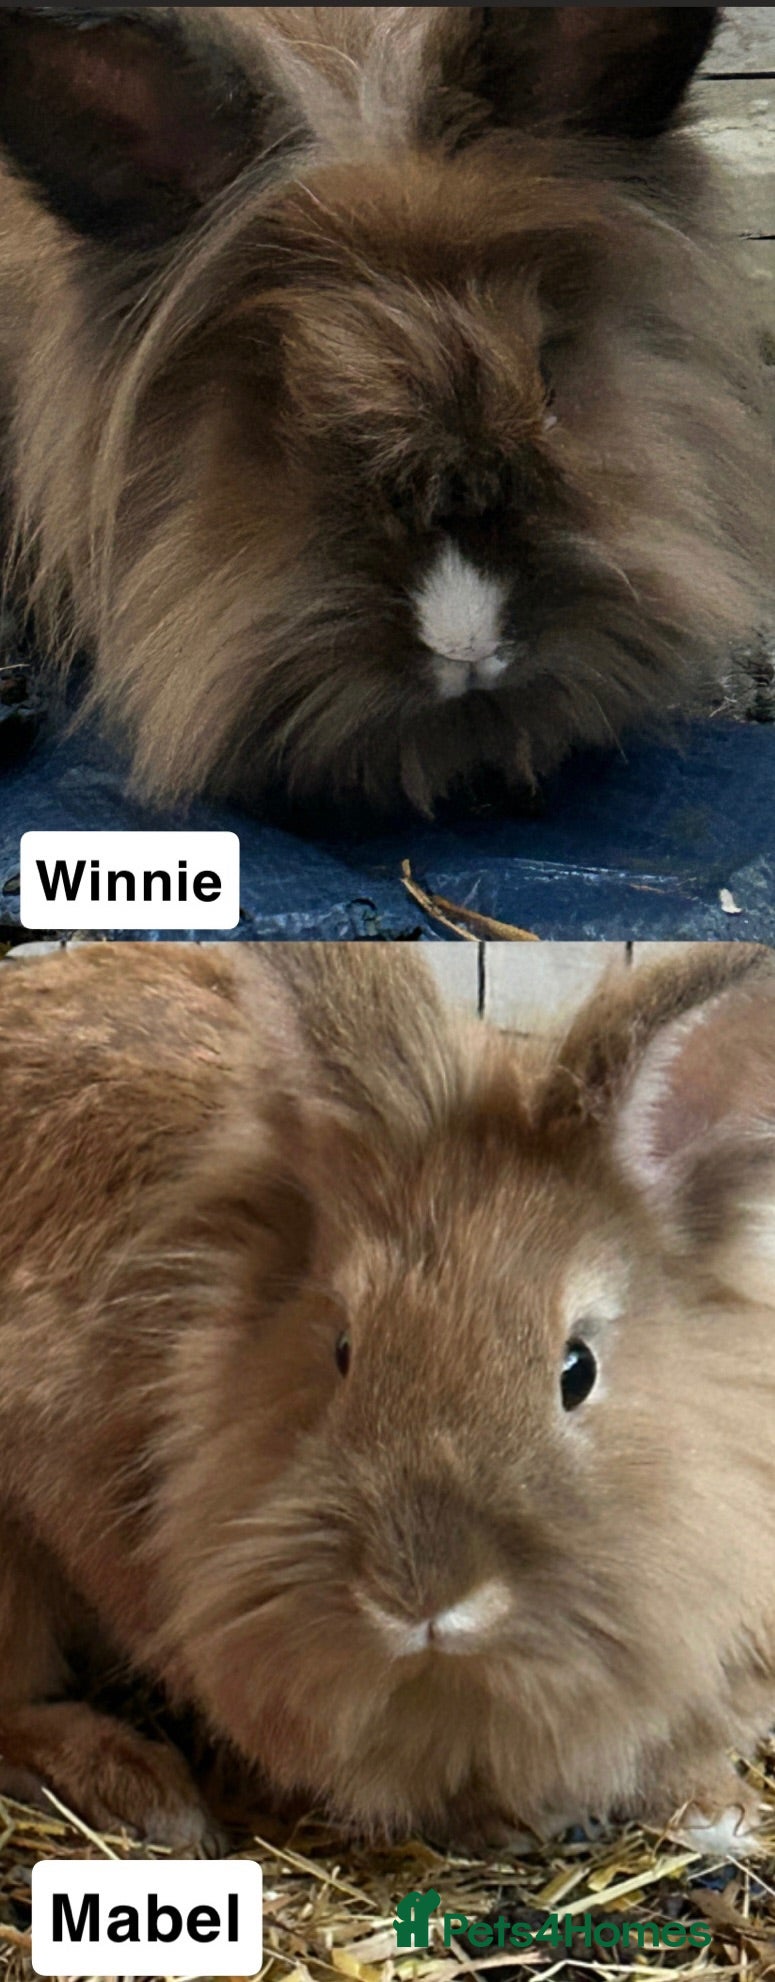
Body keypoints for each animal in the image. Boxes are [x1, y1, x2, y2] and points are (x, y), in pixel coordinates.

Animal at [0, 936, 774, 1858]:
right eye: (343, 1349)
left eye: (576, 1369)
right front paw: (504, 1818)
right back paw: (138, 1788)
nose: (420, 1595)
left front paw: (716, 1811)